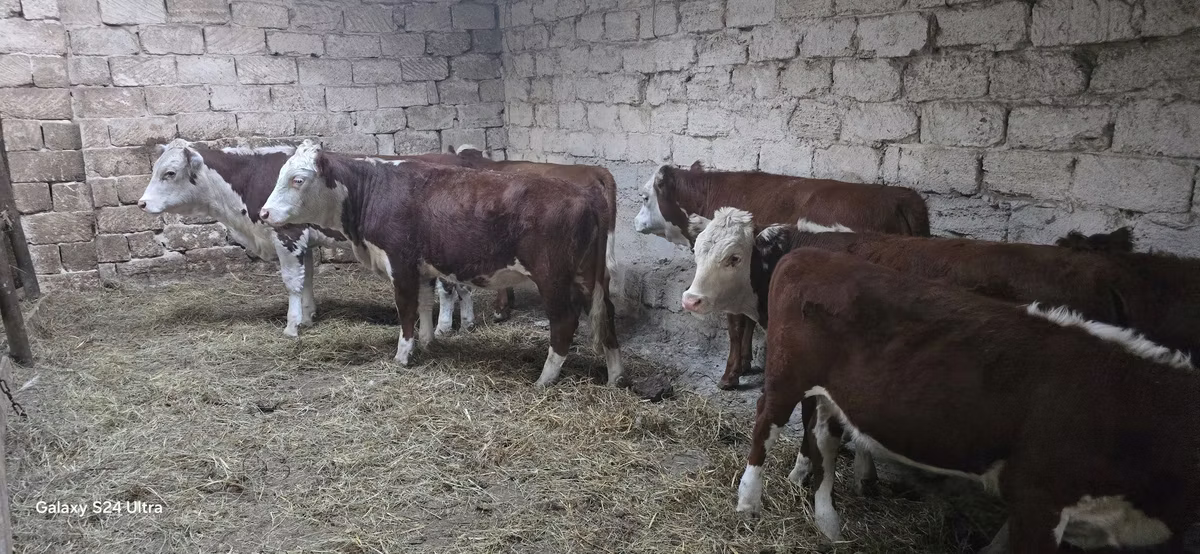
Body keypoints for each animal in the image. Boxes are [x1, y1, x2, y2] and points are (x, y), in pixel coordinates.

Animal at [138, 139, 478, 337]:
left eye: (169, 173)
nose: (141, 203)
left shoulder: (286, 234)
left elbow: (292, 282)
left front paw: (292, 326)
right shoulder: (305, 241)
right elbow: (308, 278)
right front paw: (308, 315)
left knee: (448, 288)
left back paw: (444, 327)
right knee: (463, 288)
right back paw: (468, 321)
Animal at [258, 140, 623, 387]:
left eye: (298, 179)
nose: (264, 213)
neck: (372, 191)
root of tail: (585, 194)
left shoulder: (401, 263)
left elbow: (406, 310)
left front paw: (403, 355)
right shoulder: (421, 268)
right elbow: (423, 306)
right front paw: (428, 342)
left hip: (553, 277)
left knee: (564, 322)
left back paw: (545, 379)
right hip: (589, 275)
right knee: (606, 315)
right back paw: (615, 375)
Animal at [632, 161, 930, 390]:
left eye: (645, 197)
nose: (634, 222)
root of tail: (902, 197)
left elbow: (736, 329)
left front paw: (730, 376)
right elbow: (748, 325)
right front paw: (746, 363)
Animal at [737, 247, 1198, 553]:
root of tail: (808, 252)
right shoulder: (1038, 494)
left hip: (833, 394)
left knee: (825, 442)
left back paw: (828, 523)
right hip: (787, 377)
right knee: (764, 427)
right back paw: (747, 504)